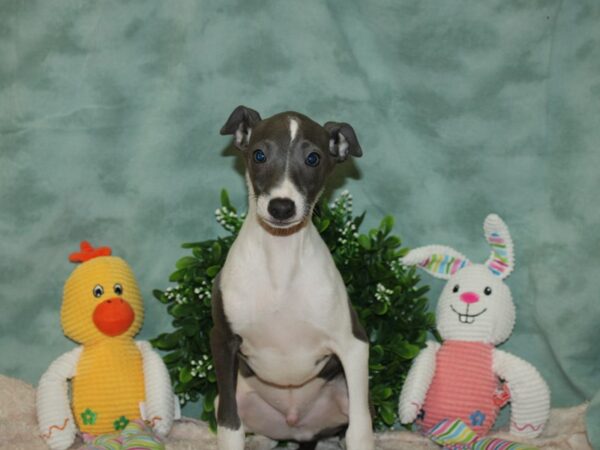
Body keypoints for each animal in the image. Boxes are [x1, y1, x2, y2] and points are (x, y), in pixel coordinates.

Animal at [210, 106, 376, 450]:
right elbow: (229, 426)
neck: (281, 260)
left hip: (344, 392)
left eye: (313, 158)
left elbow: (359, 429)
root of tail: (297, 428)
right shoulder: (222, 340)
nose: (281, 207)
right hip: (241, 396)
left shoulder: (353, 344)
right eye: (259, 155)